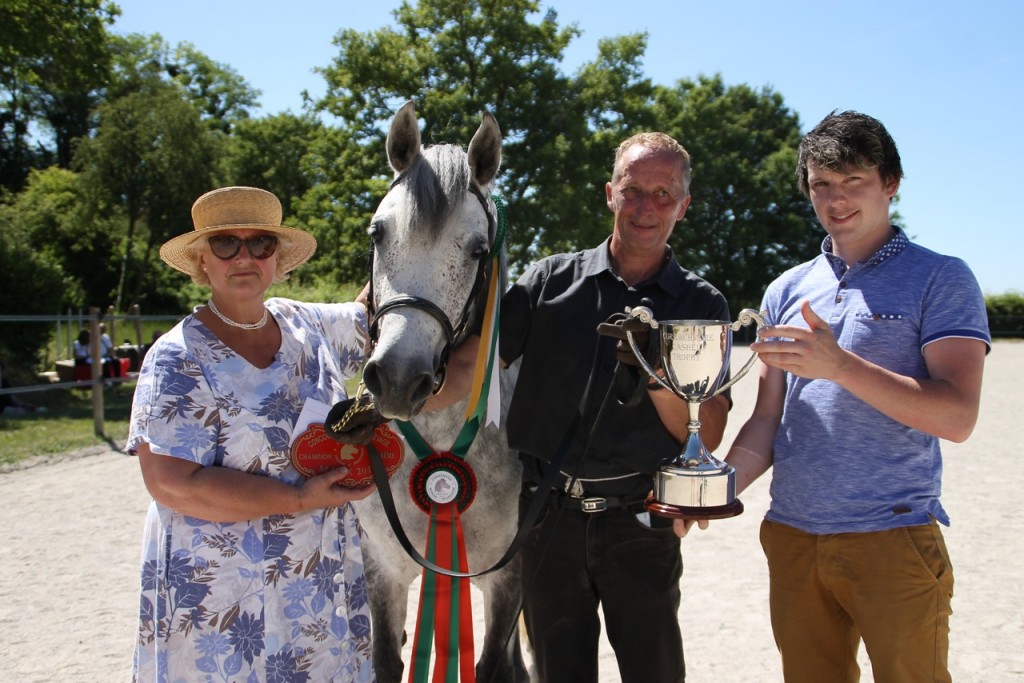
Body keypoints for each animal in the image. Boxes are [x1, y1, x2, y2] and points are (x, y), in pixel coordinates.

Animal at [354, 101, 528, 683]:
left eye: (477, 250)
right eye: (378, 233)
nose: (398, 378)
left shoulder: (506, 580)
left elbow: (494, 665)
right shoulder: (383, 572)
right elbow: (387, 661)